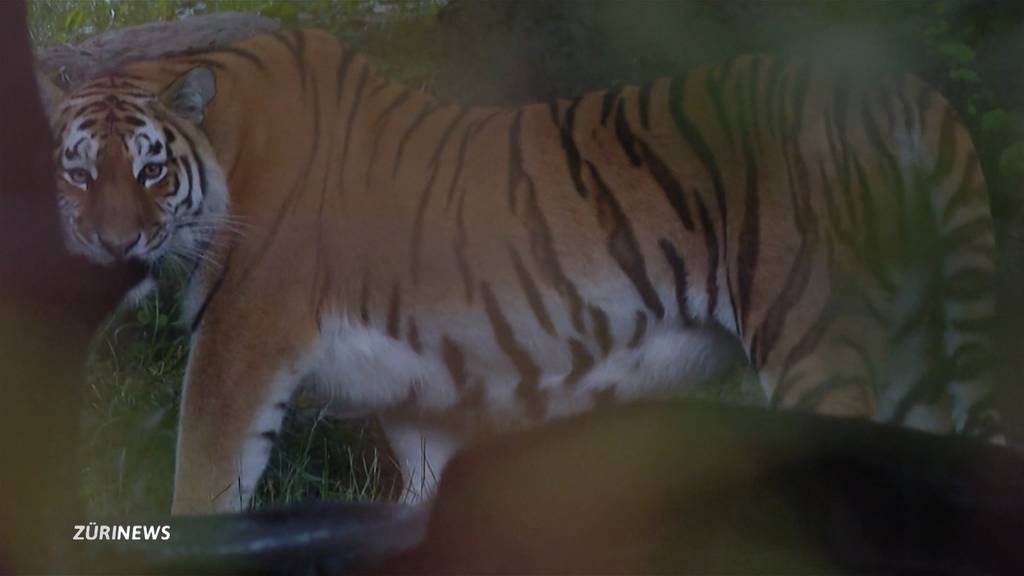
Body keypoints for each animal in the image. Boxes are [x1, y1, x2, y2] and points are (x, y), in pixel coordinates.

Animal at [41, 28, 999, 510]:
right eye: (78, 172)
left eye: (151, 171)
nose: (111, 244)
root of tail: (903, 92)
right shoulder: (421, 402)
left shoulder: (240, 345)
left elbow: (199, 492)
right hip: (919, 354)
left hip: (818, 347)